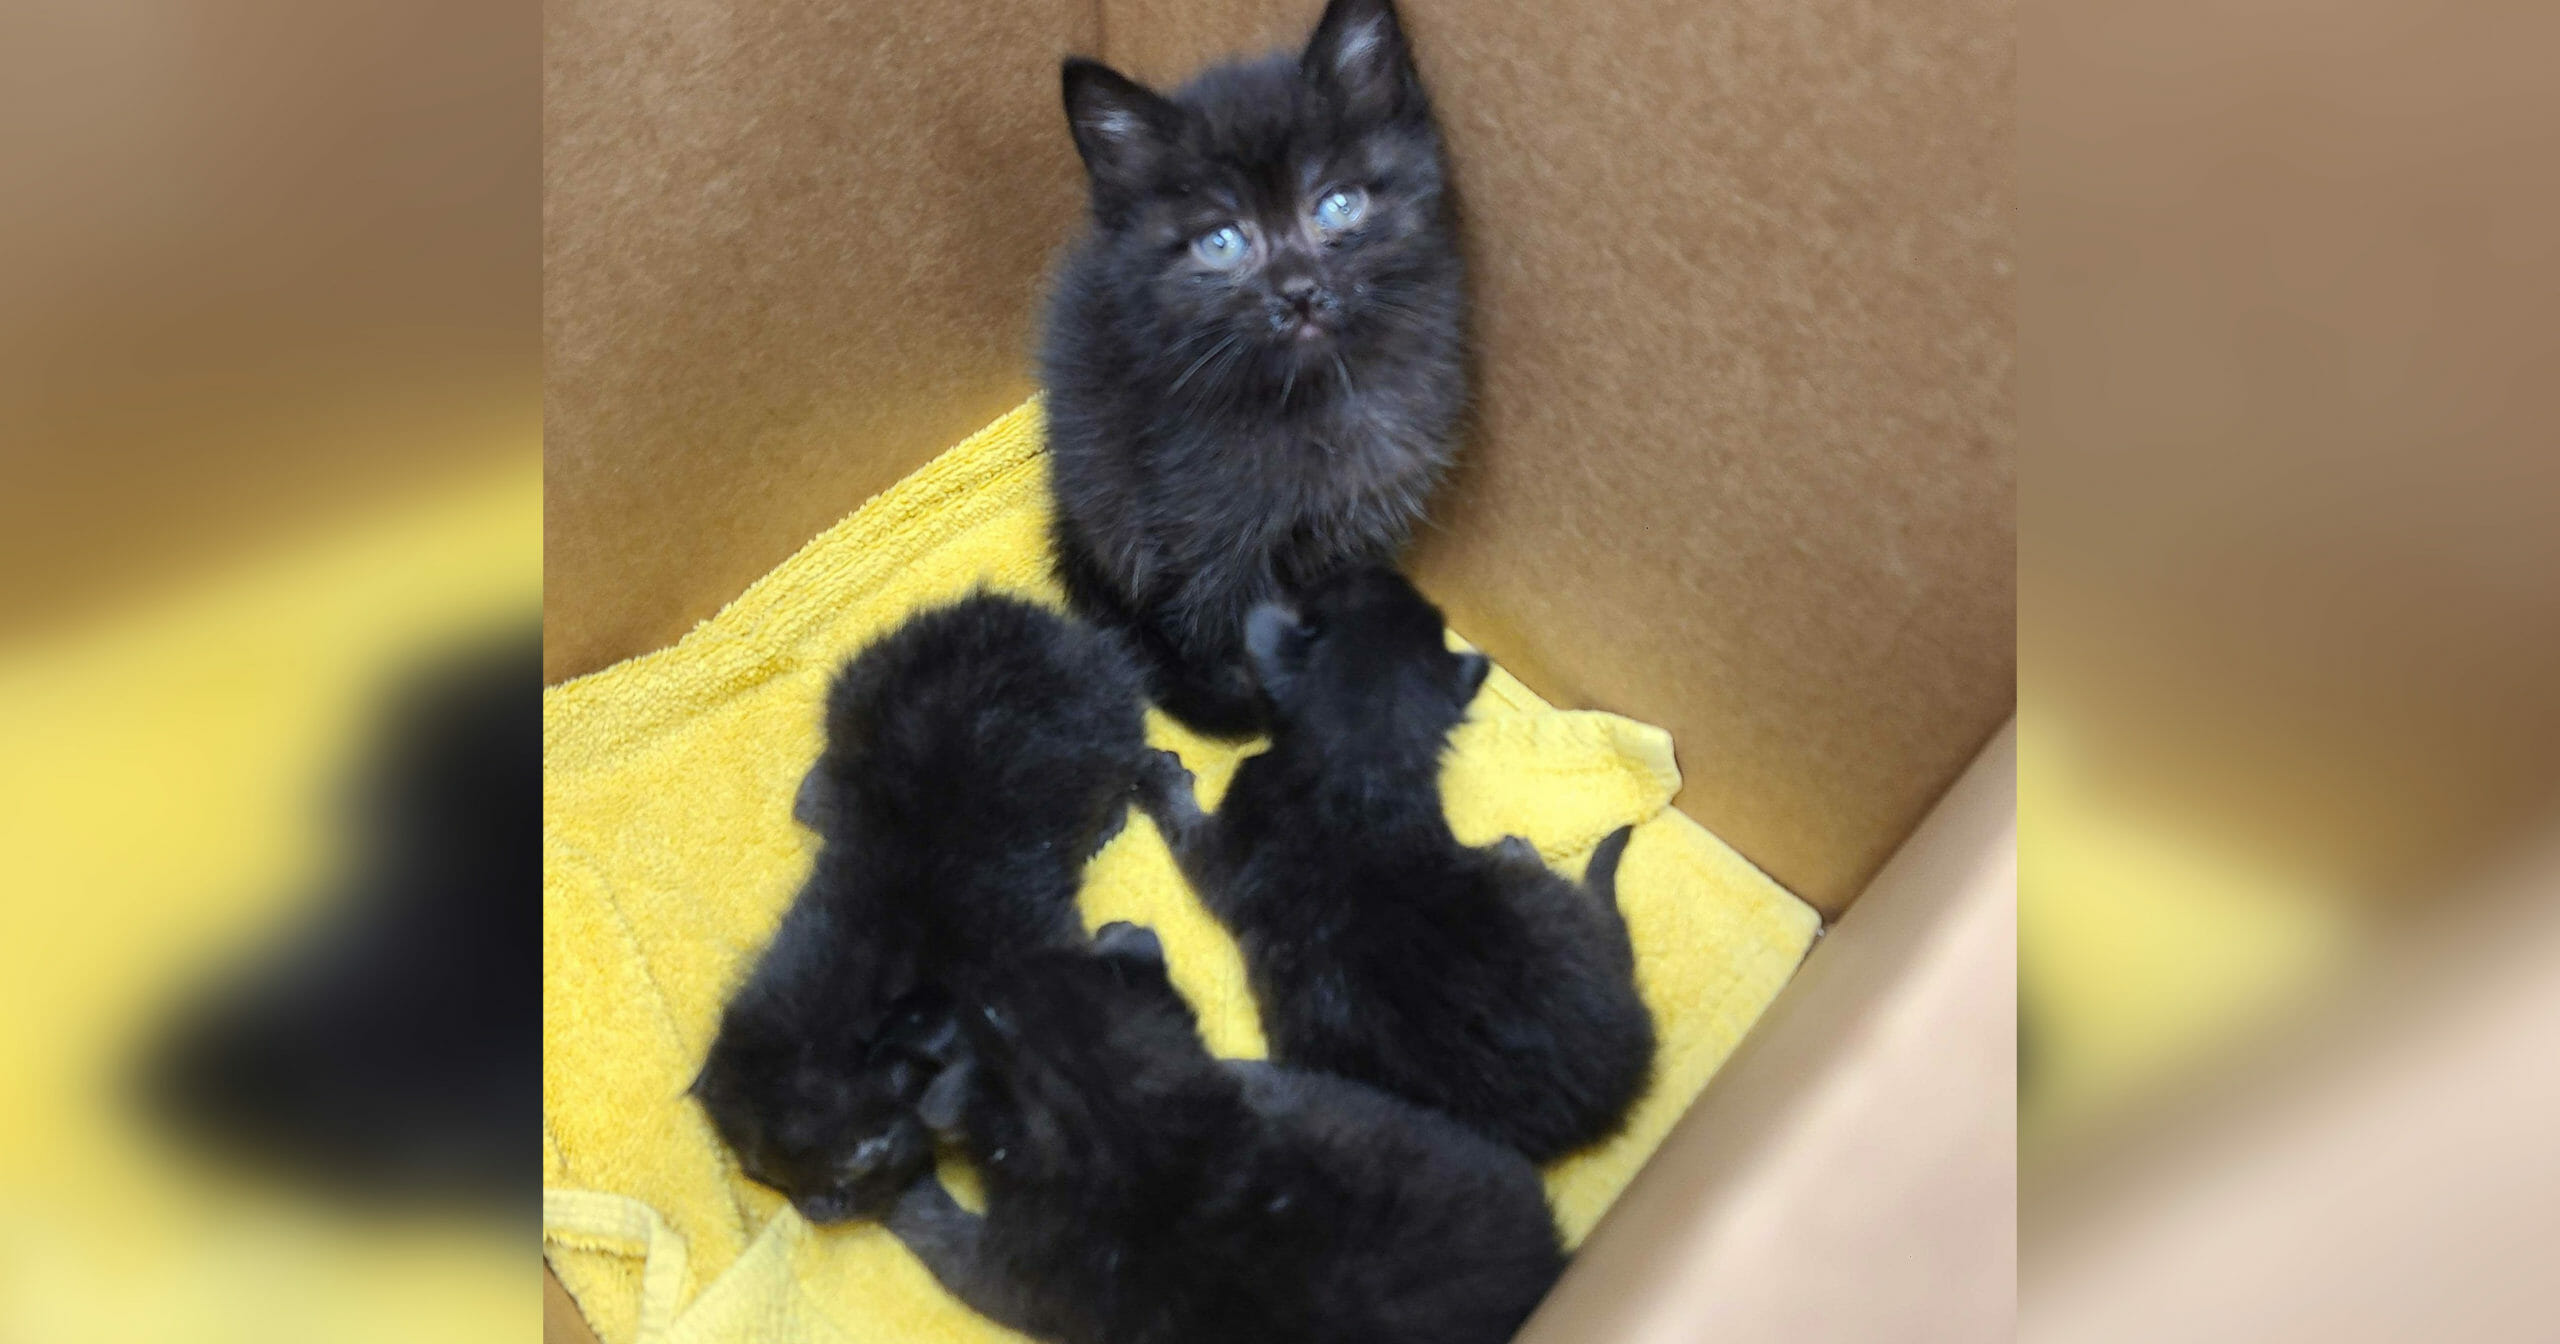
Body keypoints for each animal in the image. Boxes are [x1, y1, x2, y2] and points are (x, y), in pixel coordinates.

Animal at [691, 591, 1152, 1218]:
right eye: (765, 1176)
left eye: (863, 1158)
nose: (819, 1211)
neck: (876, 952)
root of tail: (1024, 614)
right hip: (857, 686)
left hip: (1109, 721)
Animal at [890, 921, 1566, 1341]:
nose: (1127, 927)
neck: (1121, 1124)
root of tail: (1548, 1274)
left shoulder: (1012, 1269)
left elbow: (943, 1237)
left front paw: (902, 1186)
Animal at [1034, 0, 1464, 737]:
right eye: (1221, 242)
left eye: (1338, 204)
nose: (1298, 291)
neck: (1318, 391)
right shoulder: (1203, 531)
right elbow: (1225, 617)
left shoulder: (1372, 500)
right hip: (1107, 495)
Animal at [1141, 565, 1658, 1162]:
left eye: (1321, 596)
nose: (1372, 567)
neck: (1365, 768)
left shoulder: (1224, 847)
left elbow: (1183, 824)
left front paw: (1158, 774)